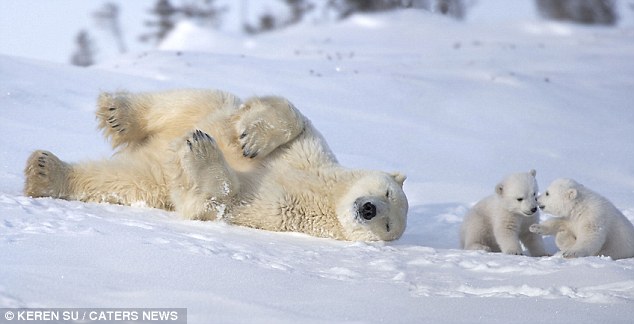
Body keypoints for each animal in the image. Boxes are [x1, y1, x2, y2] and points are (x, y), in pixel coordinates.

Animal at [23, 88, 404, 240]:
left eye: (387, 226)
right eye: (386, 192)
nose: (368, 209)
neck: (326, 193)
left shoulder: (281, 212)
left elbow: (219, 202)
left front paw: (201, 151)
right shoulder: (312, 151)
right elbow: (293, 116)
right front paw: (251, 140)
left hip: (152, 179)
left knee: (119, 179)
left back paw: (45, 172)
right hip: (203, 106)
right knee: (182, 101)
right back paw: (118, 113)